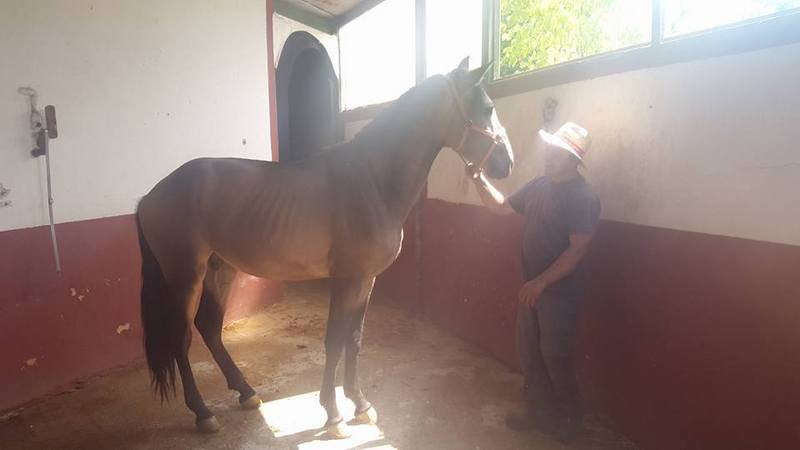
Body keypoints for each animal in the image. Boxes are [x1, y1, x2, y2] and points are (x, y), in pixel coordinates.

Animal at [135, 57, 514, 438]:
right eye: (487, 108)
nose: (507, 163)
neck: (372, 181)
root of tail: (150, 196)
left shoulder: (367, 279)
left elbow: (354, 339)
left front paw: (361, 405)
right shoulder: (346, 279)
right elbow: (334, 340)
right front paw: (333, 414)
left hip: (221, 269)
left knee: (210, 328)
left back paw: (246, 392)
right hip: (186, 276)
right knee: (181, 338)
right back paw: (202, 413)